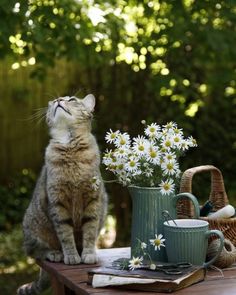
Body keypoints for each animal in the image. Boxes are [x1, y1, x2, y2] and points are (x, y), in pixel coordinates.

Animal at [16, 95, 108, 295]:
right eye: (51, 102)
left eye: (72, 99)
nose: (58, 100)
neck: (70, 145)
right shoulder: (58, 203)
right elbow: (65, 235)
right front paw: (71, 255)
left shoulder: (93, 200)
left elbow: (90, 232)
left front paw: (88, 253)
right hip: (34, 227)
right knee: (35, 252)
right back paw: (54, 253)